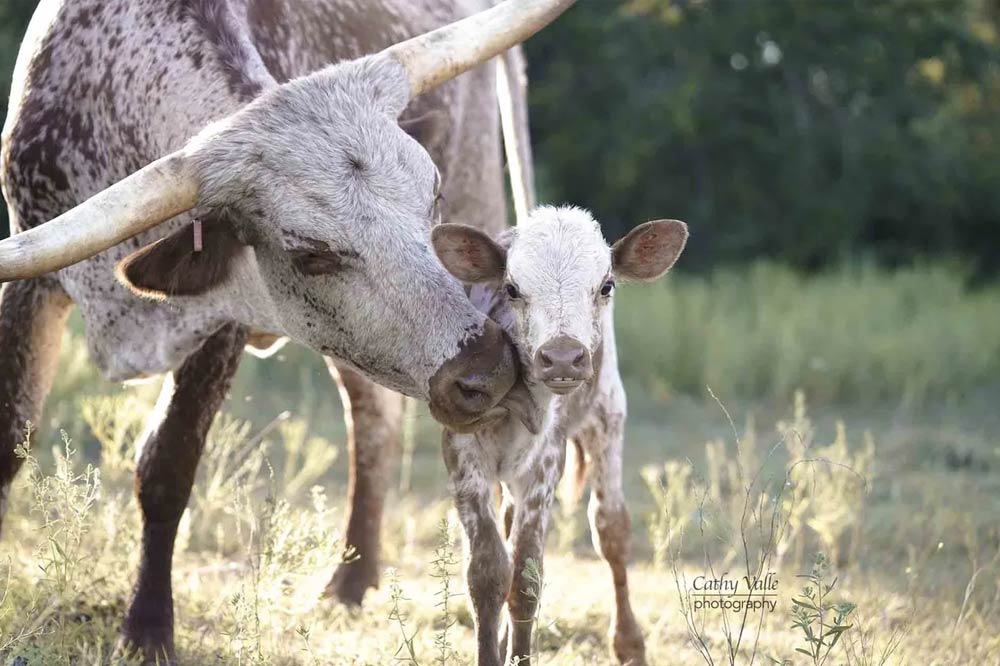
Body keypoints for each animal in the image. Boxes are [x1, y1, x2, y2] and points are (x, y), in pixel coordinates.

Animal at [430, 205, 688, 660]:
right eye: (511, 289)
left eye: (605, 286)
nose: (564, 358)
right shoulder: (462, 453)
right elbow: (487, 572)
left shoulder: (546, 461)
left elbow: (526, 577)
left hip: (609, 412)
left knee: (610, 527)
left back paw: (629, 644)